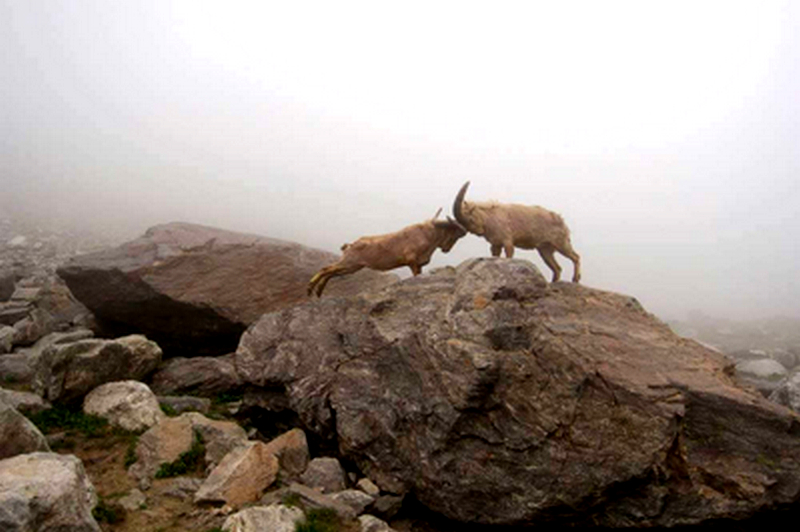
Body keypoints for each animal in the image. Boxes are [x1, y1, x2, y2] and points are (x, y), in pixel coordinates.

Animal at [306, 209, 468, 300]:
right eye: (454, 232)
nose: (446, 249)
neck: (427, 235)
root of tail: (350, 245)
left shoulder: (419, 264)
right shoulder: (412, 261)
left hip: (353, 267)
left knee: (331, 272)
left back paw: (318, 292)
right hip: (349, 262)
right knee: (326, 269)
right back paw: (310, 289)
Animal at [450, 182, 580, 282]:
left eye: (470, 219)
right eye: (466, 226)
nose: (479, 232)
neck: (491, 217)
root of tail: (562, 221)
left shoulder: (507, 240)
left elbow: (509, 255)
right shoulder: (496, 244)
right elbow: (495, 255)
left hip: (561, 243)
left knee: (575, 257)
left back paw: (575, 279)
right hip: (545, 250)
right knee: (557, 268)